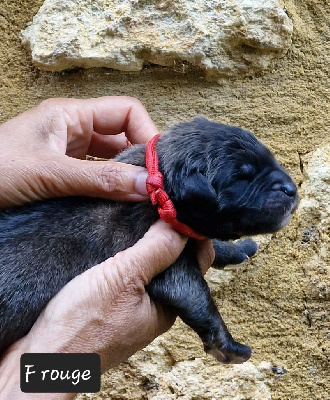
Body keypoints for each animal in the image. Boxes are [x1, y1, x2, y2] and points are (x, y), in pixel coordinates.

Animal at [0, 118, 300, 362]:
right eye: (240, 177)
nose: (291, 189)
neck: (160, 187)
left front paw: (238, 248)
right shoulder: (169, 266)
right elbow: (197, 298)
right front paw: (228, 346)